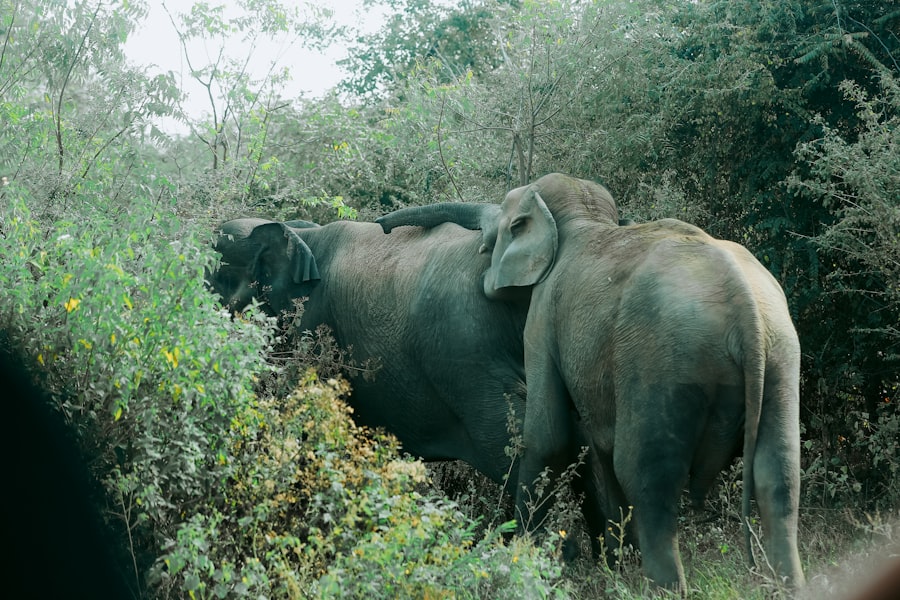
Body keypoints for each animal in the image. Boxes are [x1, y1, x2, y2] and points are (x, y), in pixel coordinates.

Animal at [375, 172, 805, 590]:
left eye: (502, 227)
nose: (382, 227)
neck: (584, 219)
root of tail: (743, 304)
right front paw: (614, 565)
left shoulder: (542, 315)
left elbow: (546, 437)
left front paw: (531, 556)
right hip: (780, 354)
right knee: (778, 475)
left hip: (662, 362)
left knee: (647, 478)